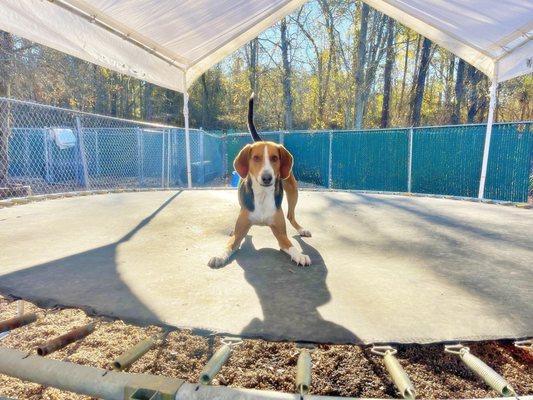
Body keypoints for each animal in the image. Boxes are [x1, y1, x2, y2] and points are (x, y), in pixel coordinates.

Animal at [206, 94, 310, 268]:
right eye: (256, 158)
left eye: (274, 158)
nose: (267, 177)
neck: (262, 195)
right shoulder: (240, 232)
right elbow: (229, 245)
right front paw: (219, 255)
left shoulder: (281, 235)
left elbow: (291, 246)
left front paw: (299, 255)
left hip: (293, 191)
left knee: (290, 215)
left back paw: (301, 229)